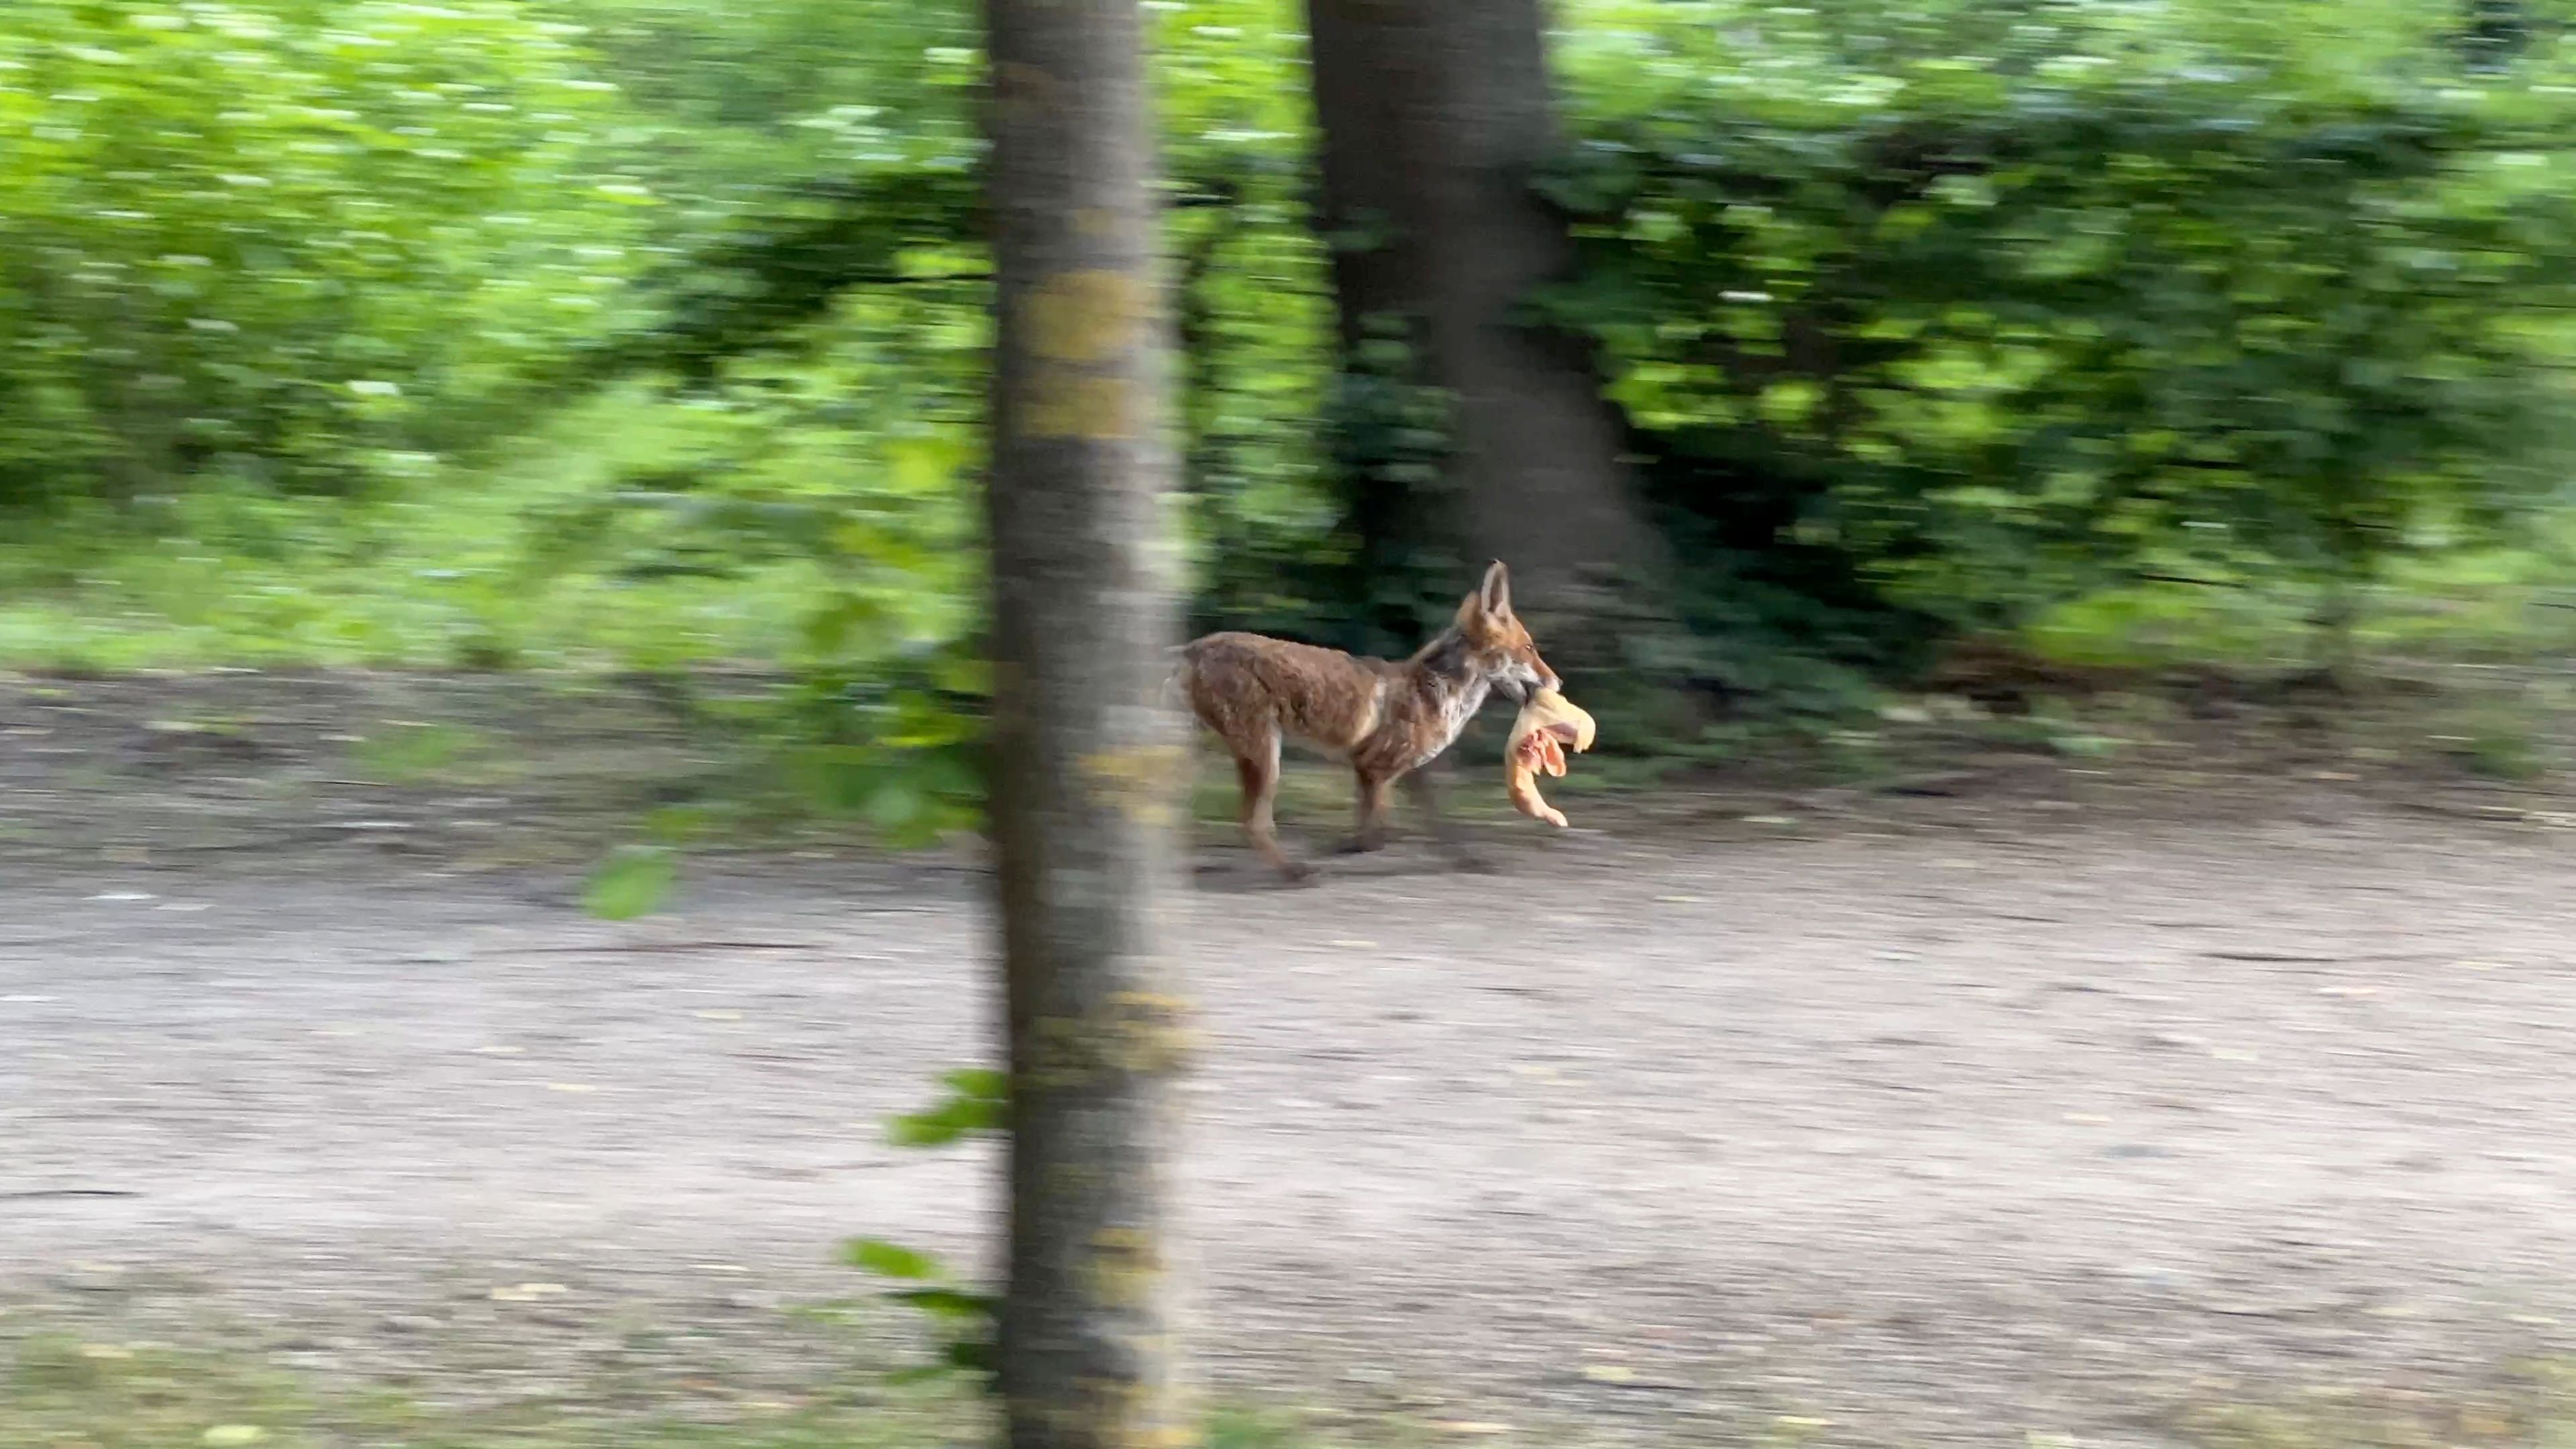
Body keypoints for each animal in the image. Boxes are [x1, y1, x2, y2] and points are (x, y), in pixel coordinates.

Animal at [1170, 560, 1560, 882]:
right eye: (1529, 649)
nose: (1557, 682)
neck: (1437, 690)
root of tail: (1195, 646)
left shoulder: (1399, 773)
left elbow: (1437, 828)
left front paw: (1470, 861)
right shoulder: (1376, 770)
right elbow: (1378, 835)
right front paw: (1339, 849)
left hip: (1227, 754)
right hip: (1267, 758)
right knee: (1254, 824)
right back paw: (1294, 872)